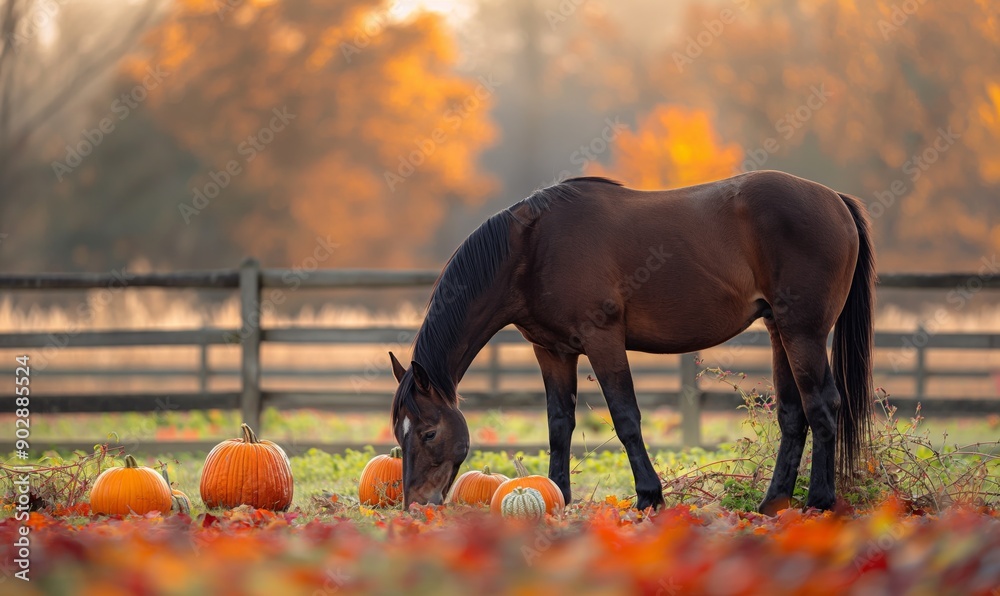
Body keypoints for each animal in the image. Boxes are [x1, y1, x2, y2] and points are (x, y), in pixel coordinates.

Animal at [386, 169, 872, 512]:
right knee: (793, 414)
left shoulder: (603, 340)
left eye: (428, 433)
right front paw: (559, 495)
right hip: (778, 331)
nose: (416, 505)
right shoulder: (553, 351)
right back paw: (773, 504)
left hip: (803, 332)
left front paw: (649, 496)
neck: (532, 247)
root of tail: (836, 201)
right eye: (399, 433)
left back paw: (819, 502)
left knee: (822, 405)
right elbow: (559, 424)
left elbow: (625, 419)